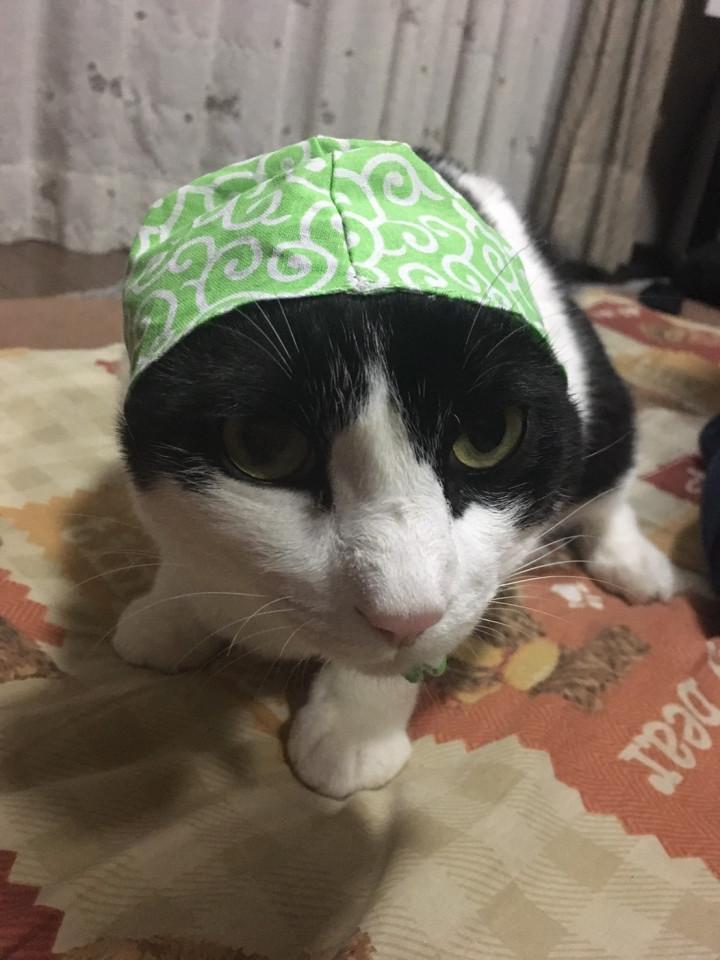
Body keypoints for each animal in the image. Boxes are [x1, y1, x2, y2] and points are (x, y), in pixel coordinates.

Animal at [113, 153, 674, 799]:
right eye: (263, 444)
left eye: (488, 435)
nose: (403, 614)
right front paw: (169, 610)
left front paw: (354, 731)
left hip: (596, 386)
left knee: (609, 475)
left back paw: (633, 562)